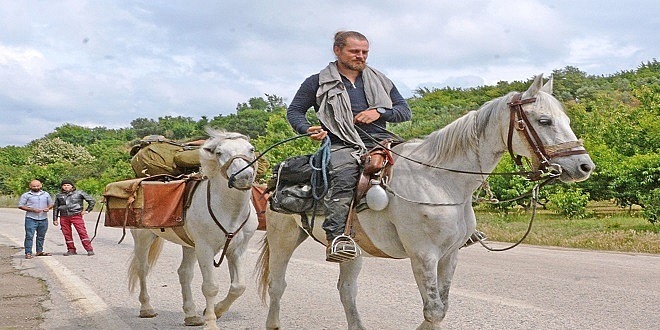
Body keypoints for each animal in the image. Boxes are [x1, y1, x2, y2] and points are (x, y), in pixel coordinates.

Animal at [126, 129, 258, 330]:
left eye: (251, 149)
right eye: (219, 152)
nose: (243, 178)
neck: (229, 212)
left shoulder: (237, 249)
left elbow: (238, 287)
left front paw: (217, 311)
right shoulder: (205, 248)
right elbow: (210, 287)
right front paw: (210, 322)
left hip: (189, 246)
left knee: (184, 273)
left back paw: (191, 315)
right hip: (143, 238)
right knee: (143, 269)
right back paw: (147, 308)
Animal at [258, 75, 600, 330]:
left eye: (566, 118)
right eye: (543, 120)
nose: (584, 166)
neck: (440, 181)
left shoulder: (450, 255)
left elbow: (441, 308)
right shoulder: (423, 255)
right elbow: (433, 310)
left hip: (350, 249)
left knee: (347, 292)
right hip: (283, 236)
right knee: (277, 284)